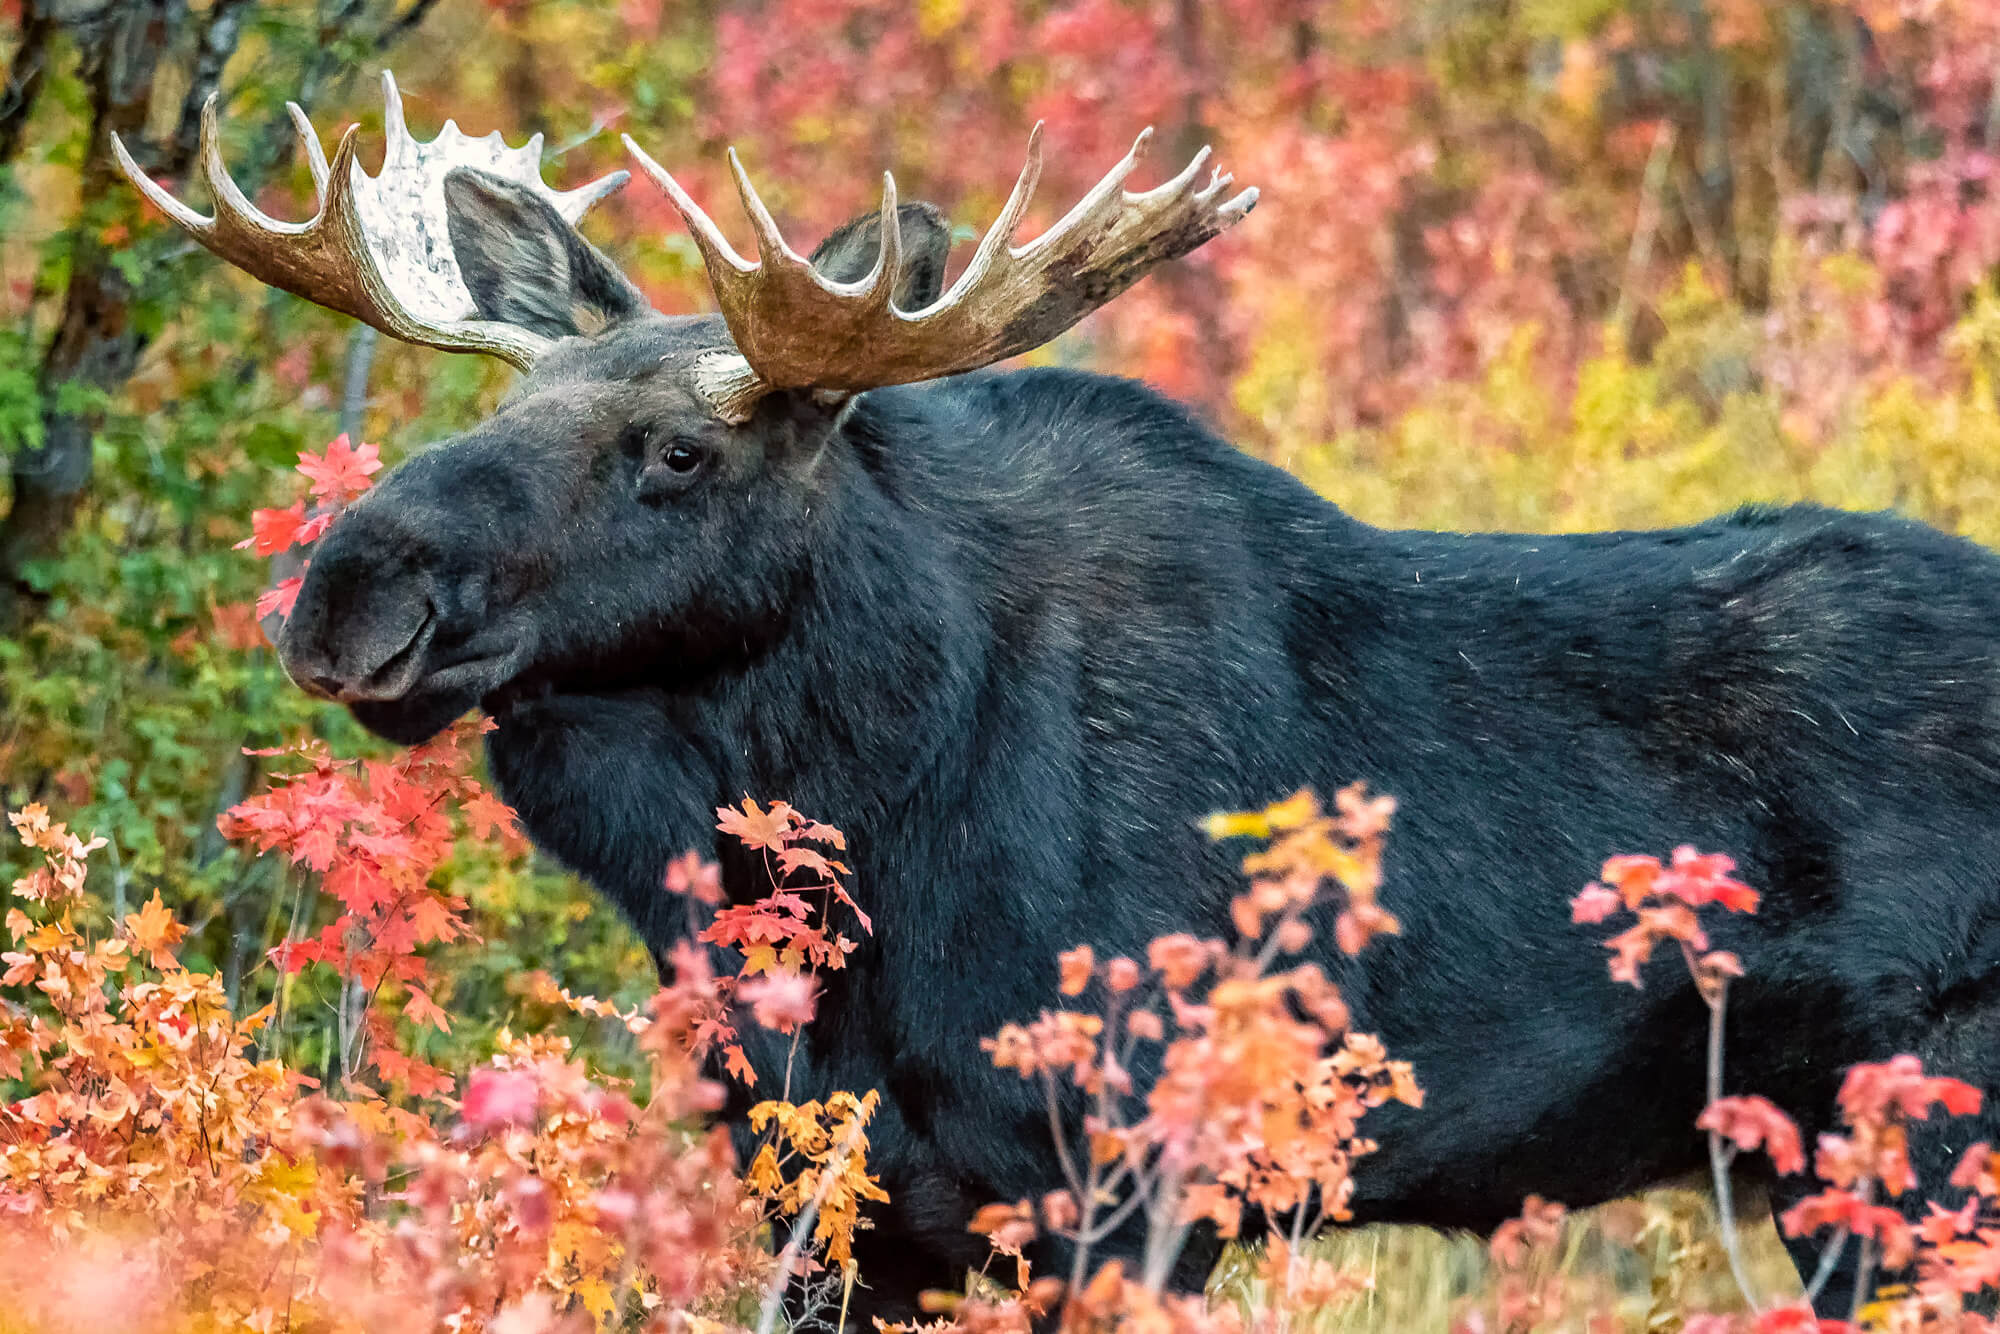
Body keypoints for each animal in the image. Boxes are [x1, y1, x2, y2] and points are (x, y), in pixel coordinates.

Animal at [121, 75, 2000, 1328]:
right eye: (508, 412)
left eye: (676, 451)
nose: (348, 593)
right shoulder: (845, 1200)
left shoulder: (1130, 1182)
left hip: (1916, 1145)